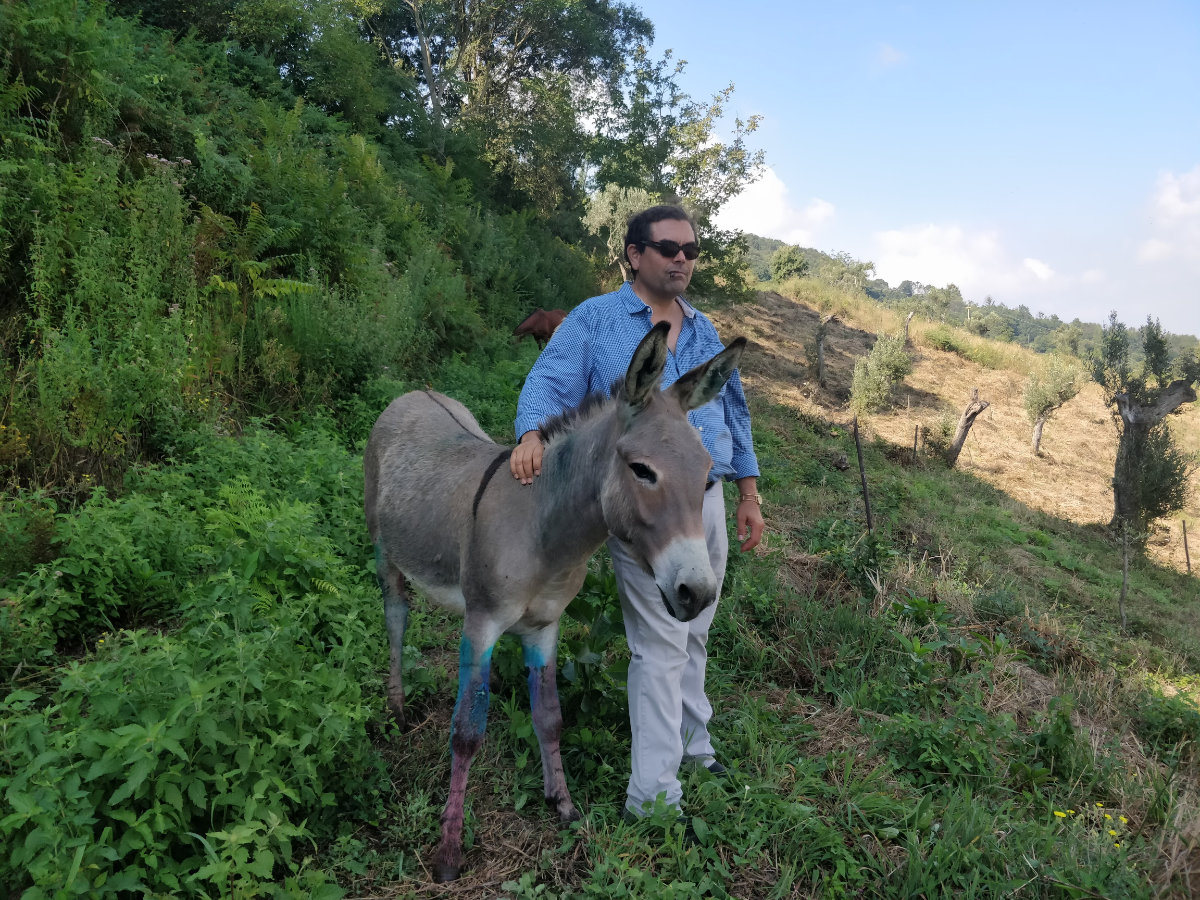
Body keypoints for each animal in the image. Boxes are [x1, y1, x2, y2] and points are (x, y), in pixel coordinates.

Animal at [360, 324, 744, 883]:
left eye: (708, 473)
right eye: (642, 470)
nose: (697, 593)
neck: (544, 529)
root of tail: (415, 392)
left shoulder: (545, 627)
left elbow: (550, 716)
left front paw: (561, 803)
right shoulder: (481, 624)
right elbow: (466, 732)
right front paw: (449, 852)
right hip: (385, 552)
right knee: (396, 619)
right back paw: (398, 707)